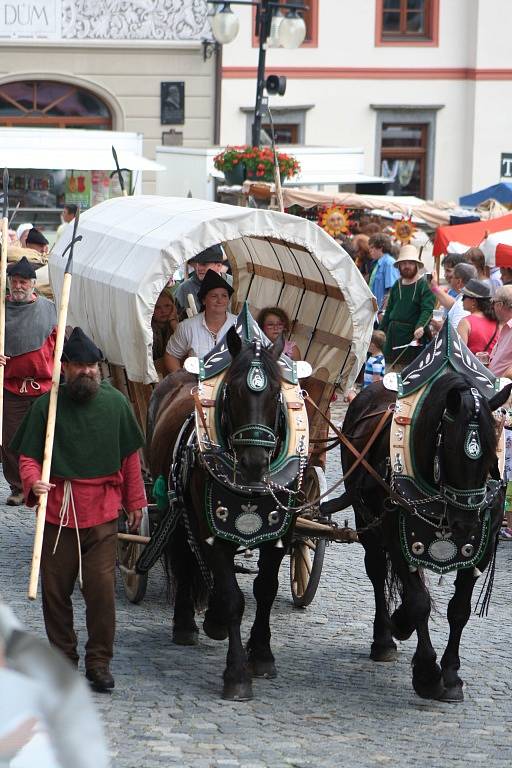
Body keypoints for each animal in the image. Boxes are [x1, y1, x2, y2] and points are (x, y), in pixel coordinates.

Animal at [148, 328, 292, 700]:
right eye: (235, 390)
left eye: (276, 393)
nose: (254, 463)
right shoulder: (211, 527)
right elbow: (232, 598)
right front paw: (237, 674)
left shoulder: (281, 535)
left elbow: (265, 589)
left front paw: (262, 655)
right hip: (177, 511)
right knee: (184, 559)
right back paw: (186, 623)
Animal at [324, 372, 512, 704]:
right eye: (451, 449)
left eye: (492, 452)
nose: (465, 523)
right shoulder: (396, 540)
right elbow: (419, 602)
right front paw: (427, 674)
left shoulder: (482, 548)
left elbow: (459, 610)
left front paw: (451, 674)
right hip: (367, 522)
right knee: (377, 572)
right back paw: (384, 638)